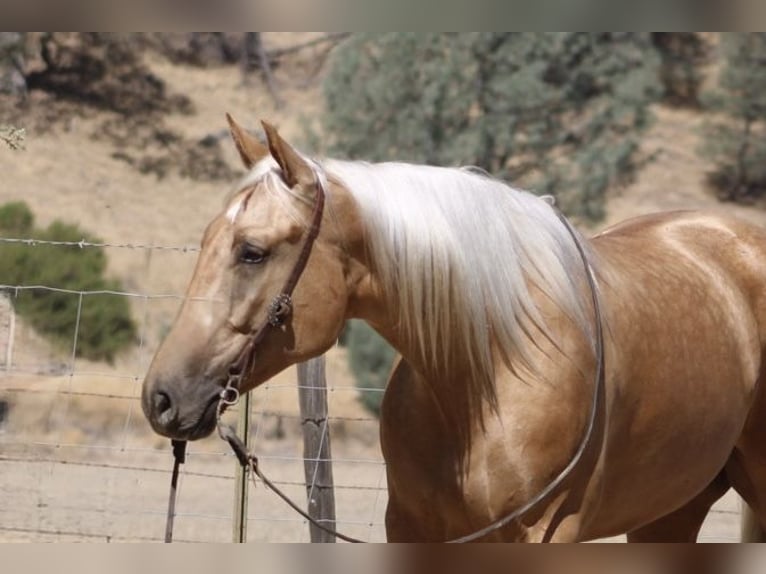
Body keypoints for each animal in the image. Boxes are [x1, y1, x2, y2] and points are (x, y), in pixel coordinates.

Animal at [142, 115, 766, 542]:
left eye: (252, 252)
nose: (160, 398)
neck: (486, 375)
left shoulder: (545, 532)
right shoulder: (412, 527)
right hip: (672, 509)